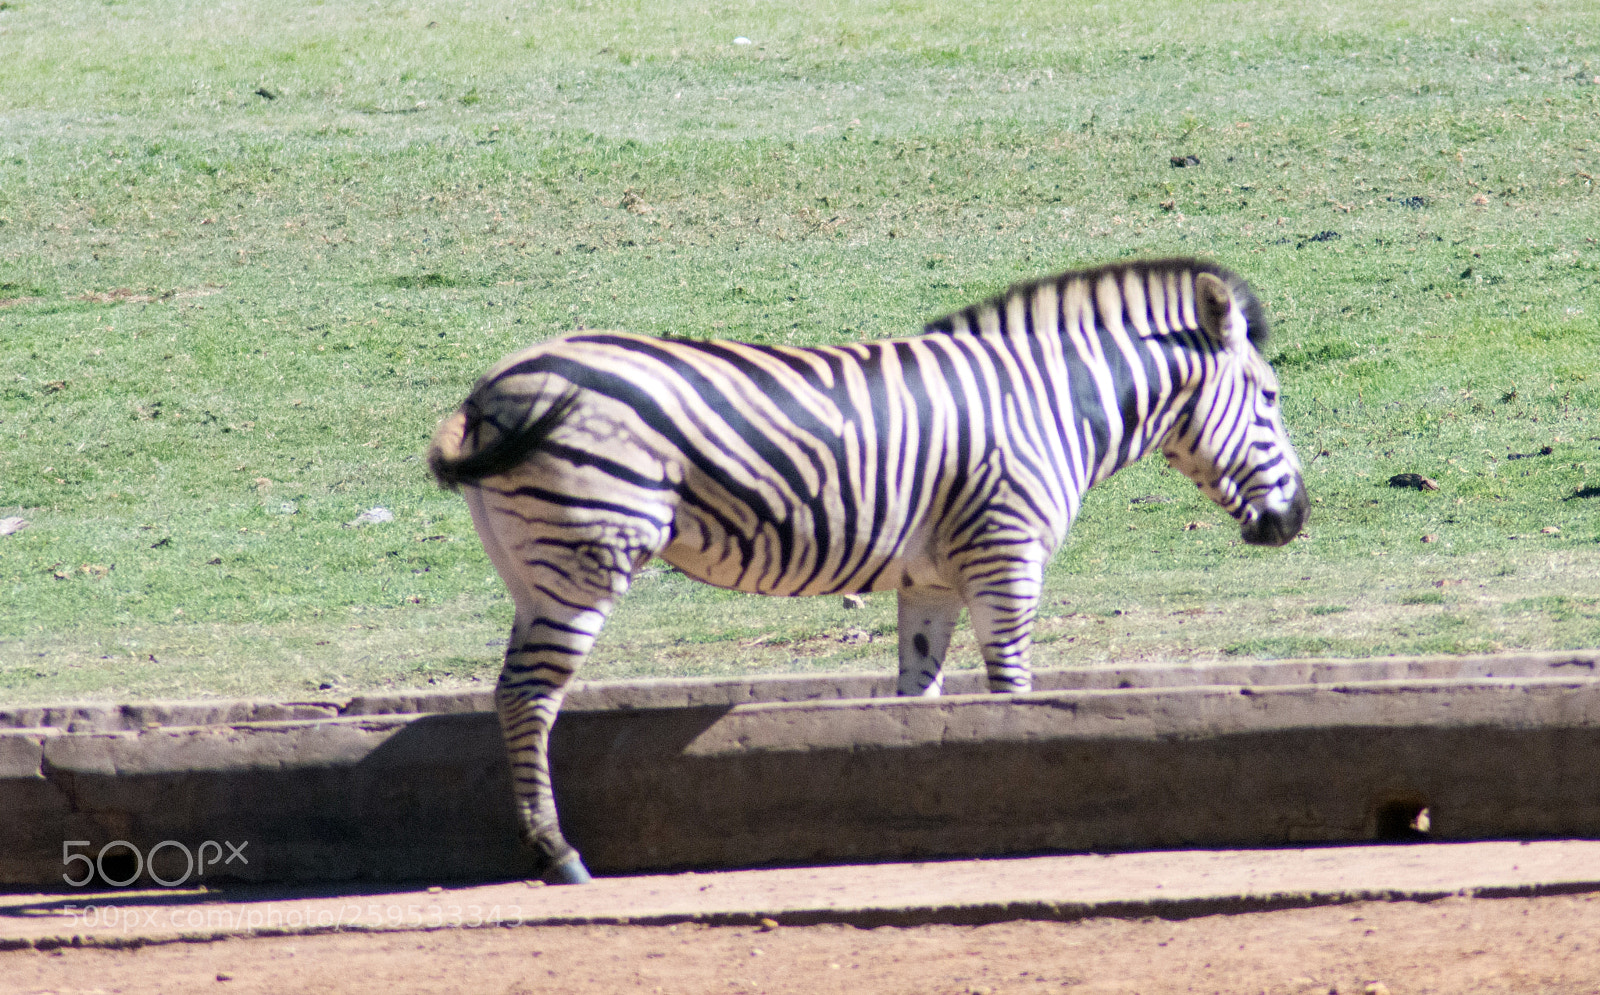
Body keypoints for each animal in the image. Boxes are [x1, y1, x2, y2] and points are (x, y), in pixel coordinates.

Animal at [428, 257, 1308, 884]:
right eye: (1269, 398)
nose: (1296, 518)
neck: (1053, 405)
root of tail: (490, 388)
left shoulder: (934, 580)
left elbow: (916, 701)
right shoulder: (1007, 553)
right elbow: (1013, 691)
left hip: (529, 564)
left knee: (509, 690)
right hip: (587, 551)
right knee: (530, 697)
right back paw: (558, 855)